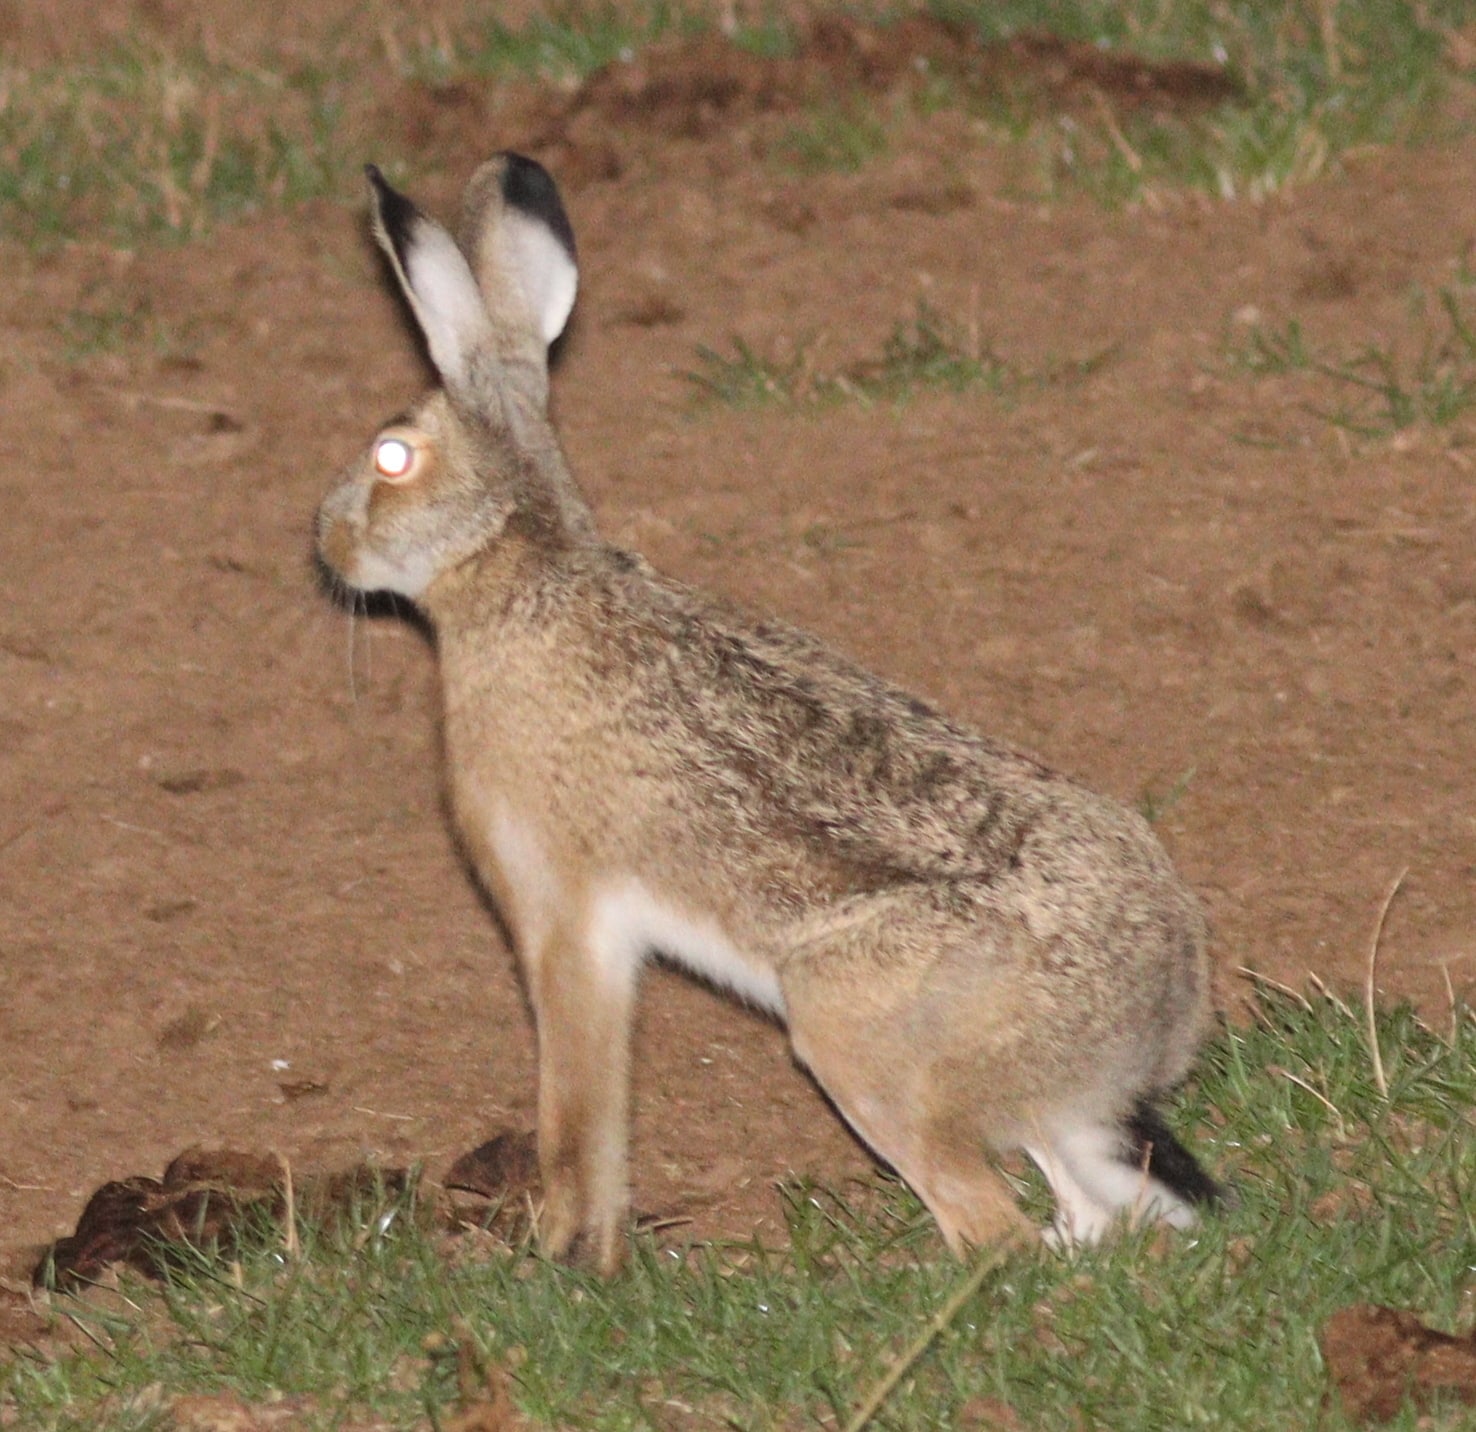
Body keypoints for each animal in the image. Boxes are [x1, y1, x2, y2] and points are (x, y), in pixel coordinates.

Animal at [316, 153, 1225, 1276]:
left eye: (392, 458)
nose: (326, 541)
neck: (518, 573)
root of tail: (1152, 1018)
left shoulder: (563, 918)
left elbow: (579, 1114)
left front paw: (567, 1257)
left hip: (850, 1037)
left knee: (995, 1232)